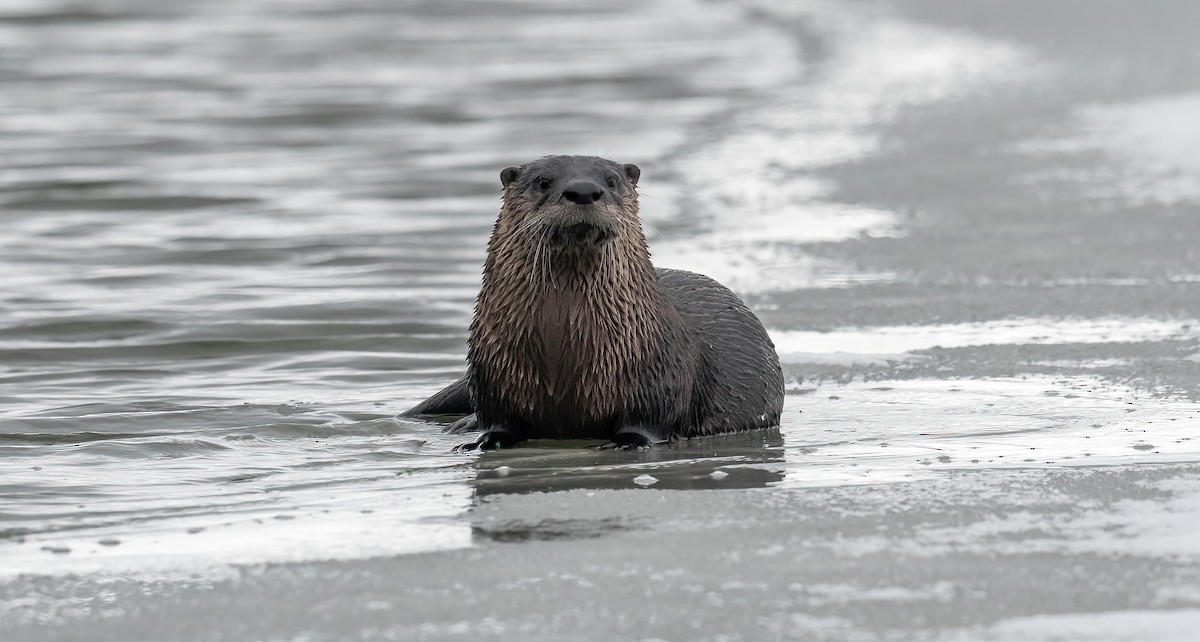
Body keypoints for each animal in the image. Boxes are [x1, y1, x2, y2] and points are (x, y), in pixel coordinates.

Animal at [403, 155, 783, 450]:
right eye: (543, 182)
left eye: (612, 181)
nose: (584, 191)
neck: (562, 349)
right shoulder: (492, 373)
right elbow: (499, 423)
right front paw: (485, 441)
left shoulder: (656, 376)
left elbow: (646, 424)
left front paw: (623, 443)